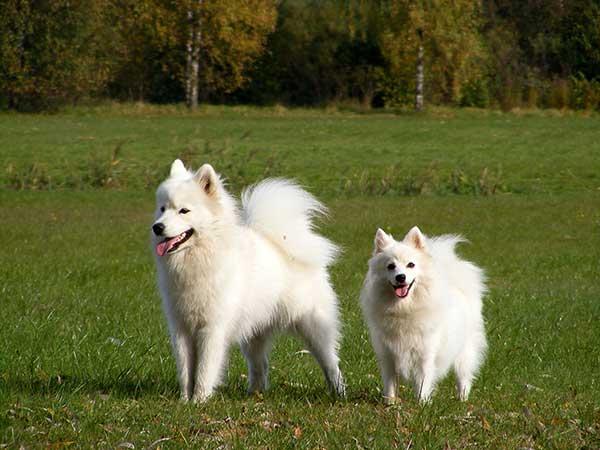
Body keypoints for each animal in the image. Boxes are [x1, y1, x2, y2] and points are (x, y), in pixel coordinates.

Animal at [152, 160, 344, 402]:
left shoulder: (212, 329)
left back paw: (338, 392)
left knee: (331, 362)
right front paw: (184, 401)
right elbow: (186, 370)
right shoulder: (181, 328)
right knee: (260, 366)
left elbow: (205, 369)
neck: (198, 259)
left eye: (184, 211)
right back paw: (254, 394)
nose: (157, 227)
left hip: (313, 325)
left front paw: (200, 400)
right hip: (254, 333)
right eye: (162, 209)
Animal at [358, 227, 486, 402]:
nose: (401, 277)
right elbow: (390, 383)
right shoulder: (387, 355)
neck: (404, 309)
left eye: (411, 265)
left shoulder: (424, 355)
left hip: (464, 352)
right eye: (390, 266)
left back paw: (462, 399)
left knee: (464, 378)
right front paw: (390, 403)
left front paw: (422, 404)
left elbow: (422, 383)